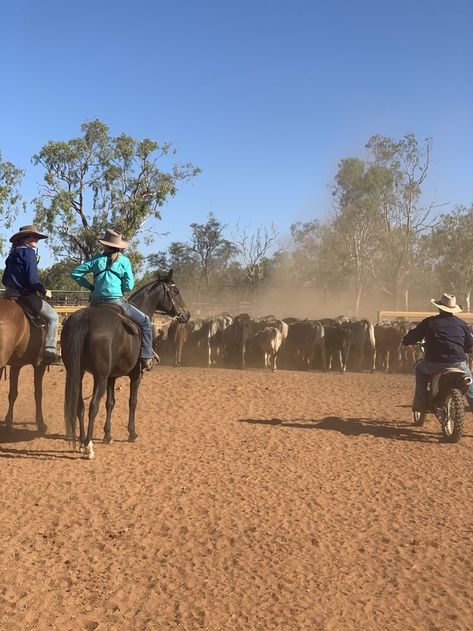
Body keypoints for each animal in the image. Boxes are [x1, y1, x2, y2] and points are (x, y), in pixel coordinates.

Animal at [0, 298, 49, 436]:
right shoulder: (39, 364)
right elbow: (38, 393)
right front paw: (41, 424)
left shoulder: (16, 365)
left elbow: (13, 393)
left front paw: (9, 424)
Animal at [60, 272, 190, 460]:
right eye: (176, 291)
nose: (187, 315)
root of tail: (84, 318)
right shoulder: (136, 375)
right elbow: (132, 402)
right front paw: (132, 433)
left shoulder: (111, 377)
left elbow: (110, 403)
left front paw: (108, 435)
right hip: (99, 377)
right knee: (93, 406)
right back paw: (89, 447)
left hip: (76, 371)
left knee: (80, 405)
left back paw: (82, 442)